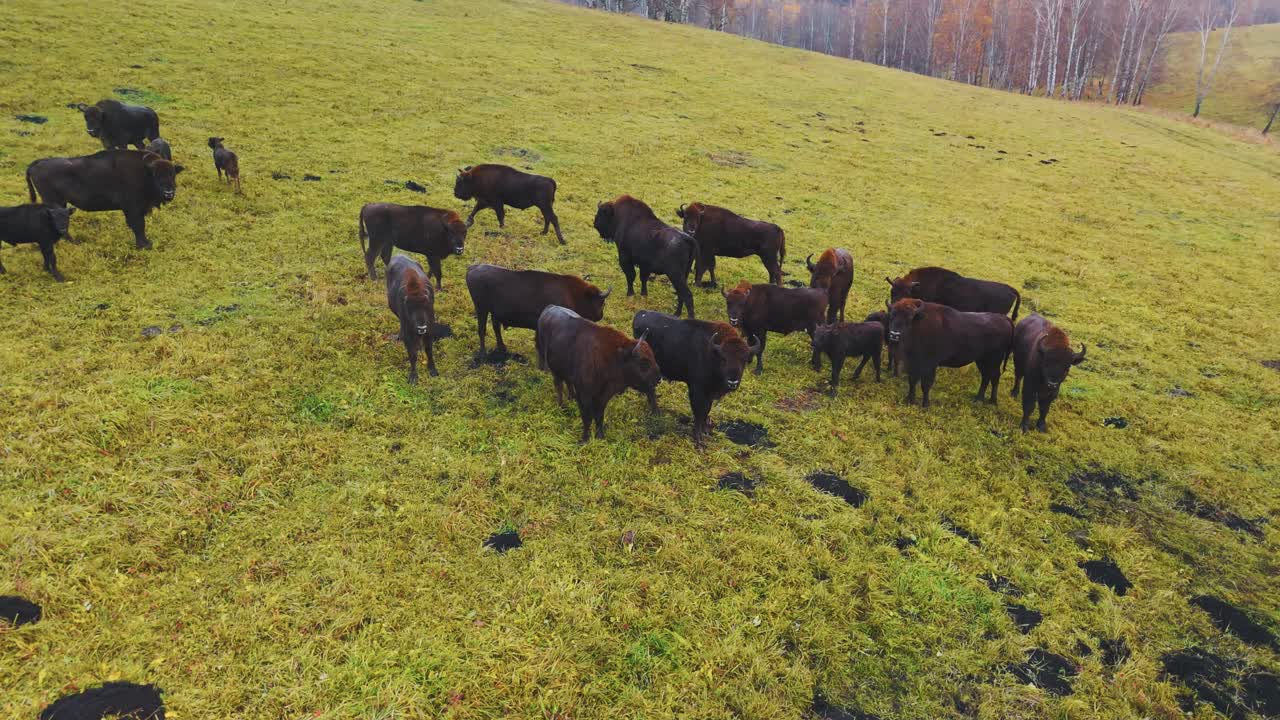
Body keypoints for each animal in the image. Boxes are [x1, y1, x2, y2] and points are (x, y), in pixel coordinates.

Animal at [26, 150, 183, 250]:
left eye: (173, 174)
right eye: (156, 175)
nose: (169, 193)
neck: (144, 172)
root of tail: (38, 163)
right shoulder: (133, 209)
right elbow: (139, 226)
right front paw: (145, 245)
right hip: (53, 201)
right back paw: (73, 243)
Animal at [387, 255, 438, 384]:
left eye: (427, 306)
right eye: (410, 309)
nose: (421, 327)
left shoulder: (429, 330)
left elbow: (429, 350)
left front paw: (433, 370)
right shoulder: (409, 333)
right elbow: (412, 354)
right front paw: (413, 377)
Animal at [466, 263, 611, 355]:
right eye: (602, 302)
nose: (601, 316)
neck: (572, 294)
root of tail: (472, 268)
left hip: (492, 312)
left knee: (495, 328)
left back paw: (502, 348)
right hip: (481, 309)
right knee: (482, 329)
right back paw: (483, 353)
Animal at [536, 305, 661, 443]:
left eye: (653, 357)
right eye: (643, 362)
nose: (658, 378)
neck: (614, 357)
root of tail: (549, 308)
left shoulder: (603, 396)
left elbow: (599, 416)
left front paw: (600, 436)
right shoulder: (585, 395)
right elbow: (587, 417)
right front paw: (584, 439)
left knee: (567, 383)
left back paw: (571, 397)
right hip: (554, 370)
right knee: (558, 386)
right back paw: (561, 406)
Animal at [632, 310, 759, 446]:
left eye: (744, 360)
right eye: (723, 359)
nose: (732, 382)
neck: (713, 352)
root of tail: (640, 314)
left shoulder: (710, 392)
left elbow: (706, 410)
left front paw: (706, 431)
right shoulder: (697, 390)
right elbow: (699, 412)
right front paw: (699, 441)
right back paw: (656, 412)